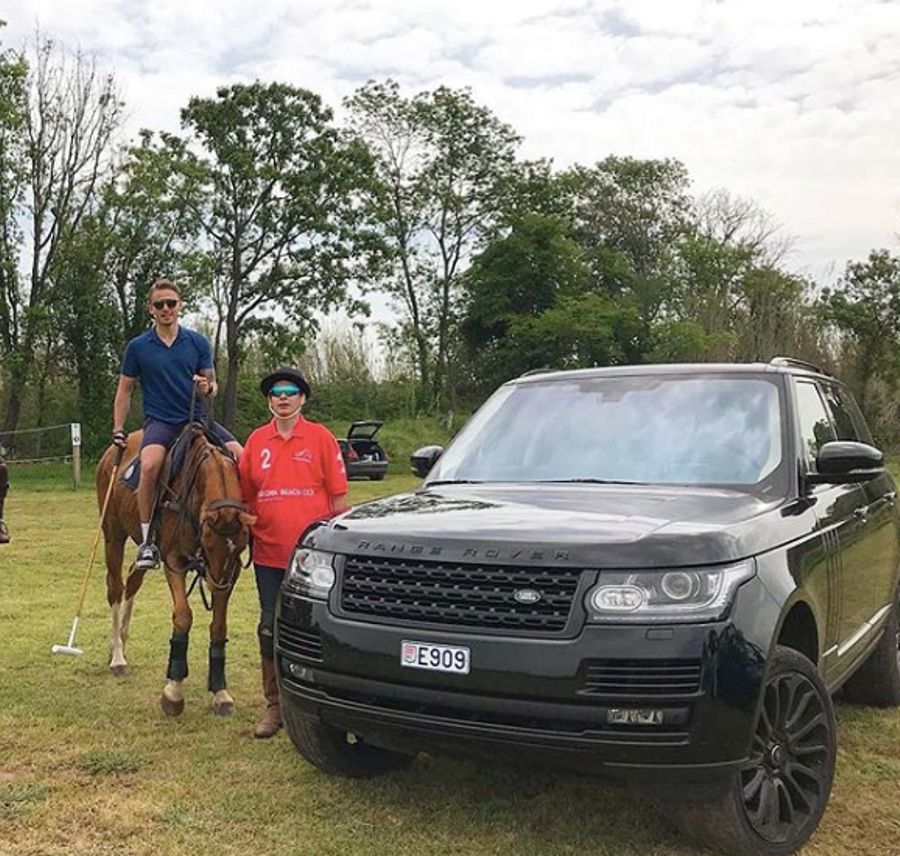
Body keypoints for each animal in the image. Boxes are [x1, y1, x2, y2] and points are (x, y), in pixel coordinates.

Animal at [96, 428, 253, 716]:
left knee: (133, 579)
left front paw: (221, 693)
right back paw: (118, 657)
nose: (216, 585)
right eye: (208, 542)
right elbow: (182, 617)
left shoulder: (231, 571)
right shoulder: (174, 561)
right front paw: (173, 692)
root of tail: (110, 455)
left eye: (239, 546)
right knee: (115, 587)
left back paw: (119, 641)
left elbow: (219, 626)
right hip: (113, 534)